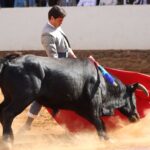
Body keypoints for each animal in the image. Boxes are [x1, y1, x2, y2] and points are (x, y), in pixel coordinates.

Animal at [0, 54, 149, 142]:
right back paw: (8, 142)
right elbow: (100, 124)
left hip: (9, 97)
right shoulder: (93, 107)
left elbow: (100, 124)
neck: (102, 83)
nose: (136, 117)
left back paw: (9, 138)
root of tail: (9, 62)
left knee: (3, 112)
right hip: (23, 97)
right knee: (8, 114)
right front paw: (106, 140)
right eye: (134, 98)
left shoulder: (83, 109)